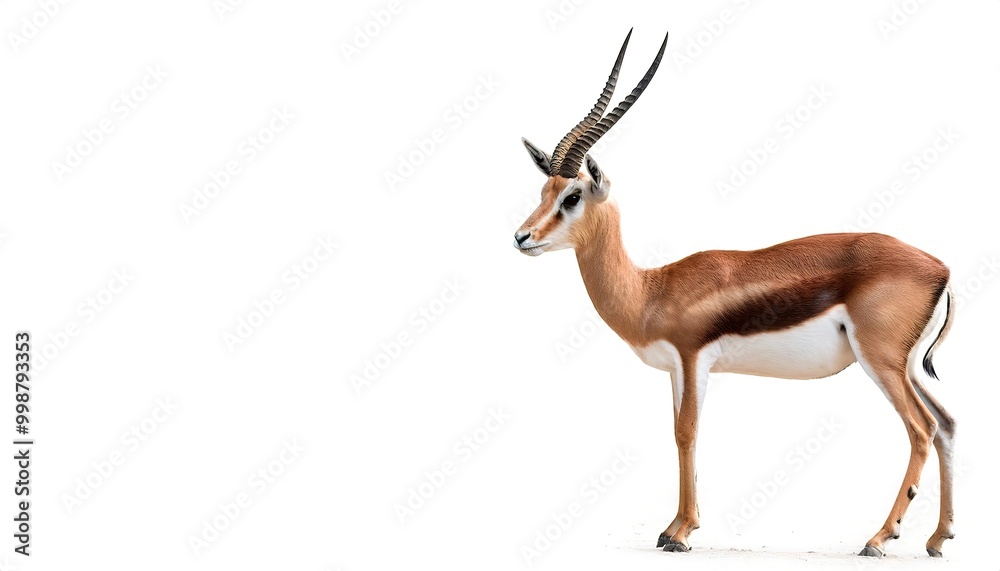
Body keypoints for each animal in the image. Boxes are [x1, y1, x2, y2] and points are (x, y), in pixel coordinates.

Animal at [514, 30, 956, 558]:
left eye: (573, 196)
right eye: (543, 191)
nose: (521, 238)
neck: (651, 290)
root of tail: (941, 269)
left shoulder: (693, 360)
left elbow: (687, 432)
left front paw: (680, 533)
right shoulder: (675, 370)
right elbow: (678, 433)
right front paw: (673, 527)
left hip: (882, 362)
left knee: (922, 429)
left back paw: (878, 539)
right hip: (909, 367)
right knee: (948, 424)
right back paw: (938, 539)